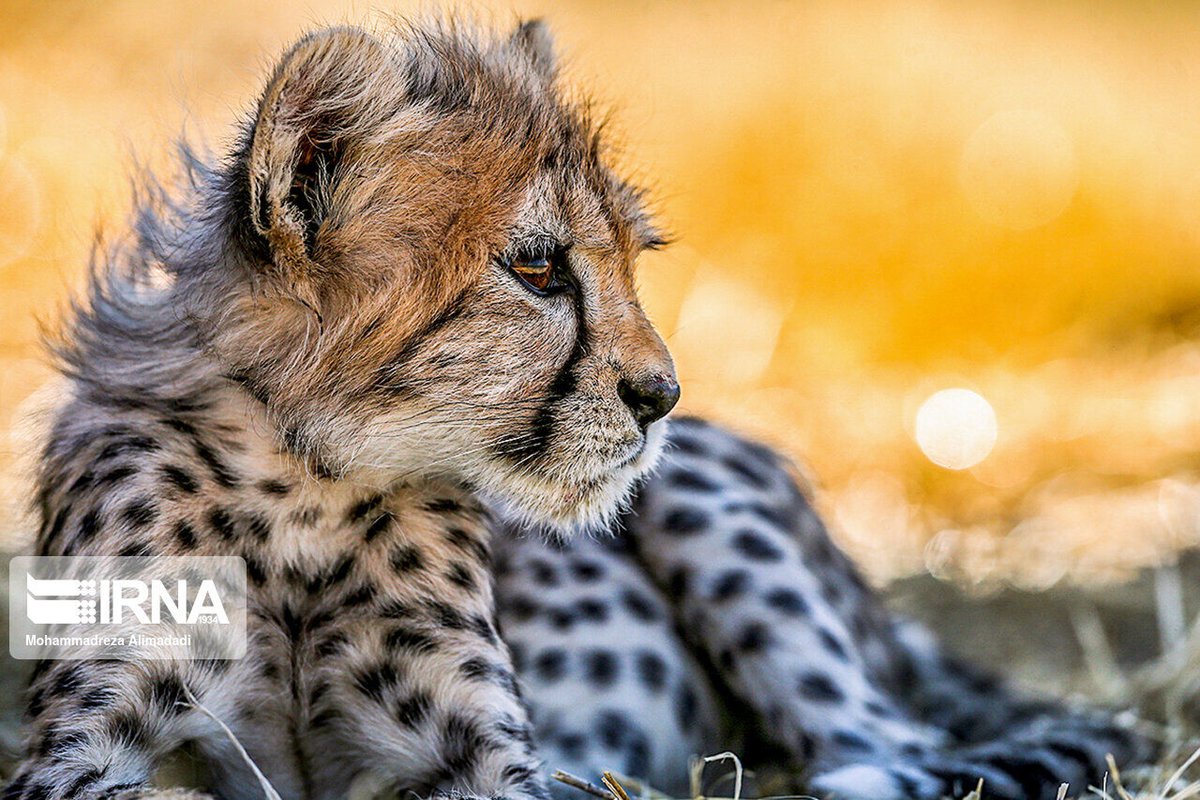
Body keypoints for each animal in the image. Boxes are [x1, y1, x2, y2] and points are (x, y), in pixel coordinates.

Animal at [5, 16, 1149, 800]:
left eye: (629, 259)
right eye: (538, 267)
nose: (663, 395)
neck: (304, 486)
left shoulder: (481, 749)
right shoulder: (78, 749)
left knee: (890, 752)